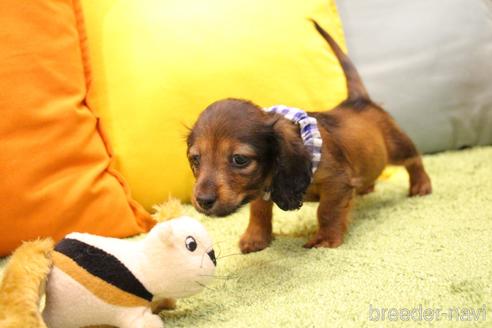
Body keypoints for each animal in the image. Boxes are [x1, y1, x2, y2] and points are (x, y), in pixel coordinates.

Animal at [186, 19, 432, 254]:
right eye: (195, 159)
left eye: (239, 159)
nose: (203, 201)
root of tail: (358, 100)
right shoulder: (261, 190)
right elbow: (258, 211)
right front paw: (256, 238)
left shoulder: (337, 182)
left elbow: (327, 211)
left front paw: (325, 239)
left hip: (397, 147)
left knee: (414, 159)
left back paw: (421, 185)